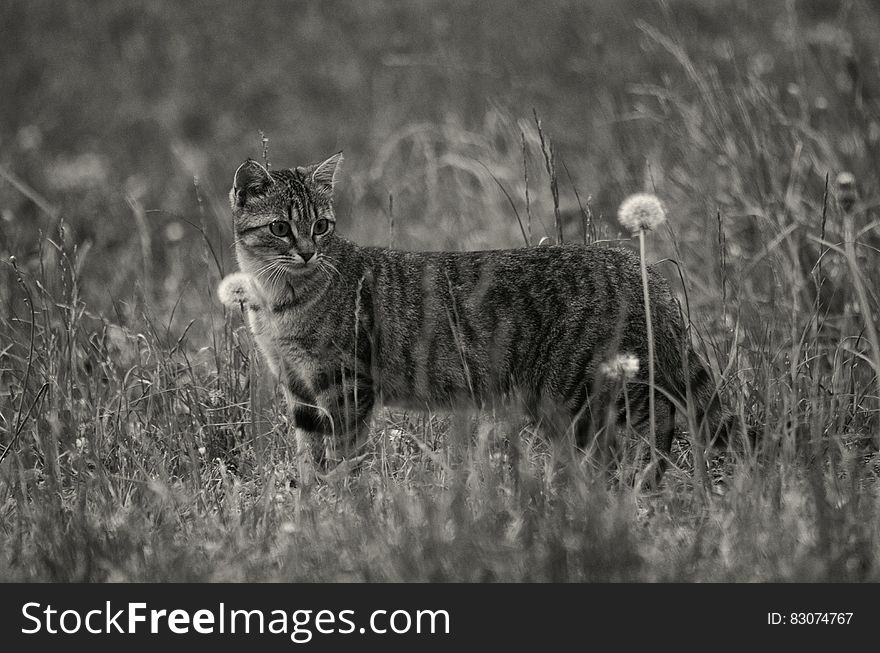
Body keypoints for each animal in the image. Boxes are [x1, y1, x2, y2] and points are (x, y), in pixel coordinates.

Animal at [220, 152, 736, 478]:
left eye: (321, 225)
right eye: (281, 227)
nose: (308, 251)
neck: (278, 301)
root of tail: (636, 265)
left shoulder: (345, 385)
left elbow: (344, 456)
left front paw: (343, 504)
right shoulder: (299, 390)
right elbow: (310, 459)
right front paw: (310, 507)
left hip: (589, 384)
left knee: (662, 420)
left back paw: (644, 482)